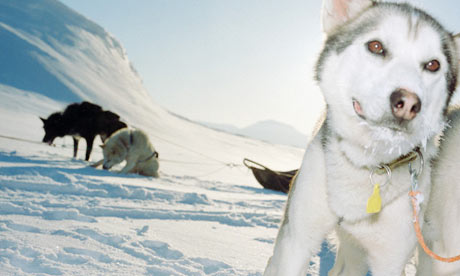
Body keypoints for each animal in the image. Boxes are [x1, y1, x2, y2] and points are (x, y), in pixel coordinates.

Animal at [264, 0, 458, 276]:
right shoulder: (295, 243)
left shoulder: (390, 261)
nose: (408, 103)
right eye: (376, 46)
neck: (368, 164)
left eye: (433, 65)